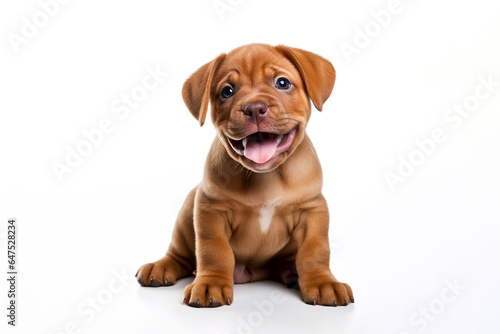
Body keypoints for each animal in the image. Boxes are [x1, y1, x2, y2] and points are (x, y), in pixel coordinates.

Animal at [136, 43, 356, 306]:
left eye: (282, 83)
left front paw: (323, 282)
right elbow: (214, 251)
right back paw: (160, 267)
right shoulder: (210, 210)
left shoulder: (312, 210)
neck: (266, 176)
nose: (254, 109)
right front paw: (210, 283)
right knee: (180, 255)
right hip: (188, 208)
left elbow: (315, 251)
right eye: (227, 91)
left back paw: (291, 273)